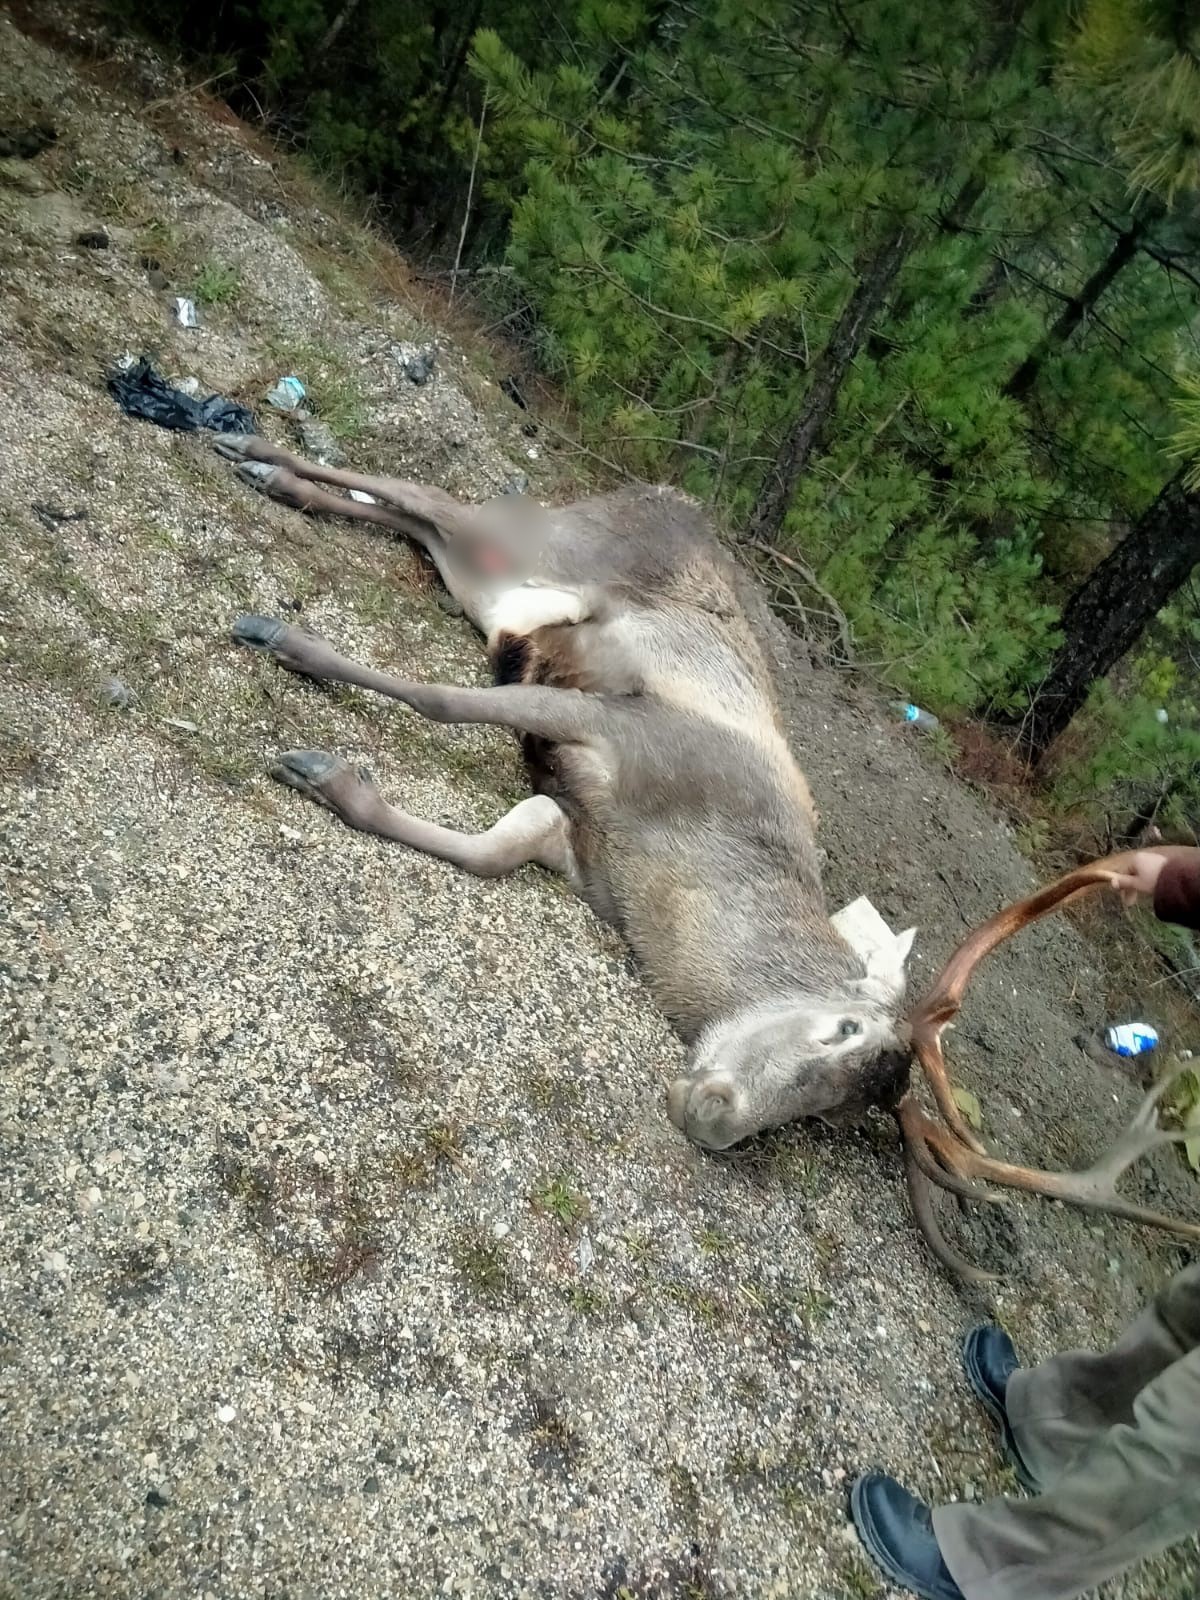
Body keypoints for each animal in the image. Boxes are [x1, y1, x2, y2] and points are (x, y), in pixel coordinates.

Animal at [216, 435, 1200, 1273]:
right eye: (843, 1032)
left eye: (826, 1117)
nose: (717, 1119)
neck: (663, 880)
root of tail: (670, 495)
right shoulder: (623, 725)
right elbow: (443, 702)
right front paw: (283, 643)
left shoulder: (579, 842)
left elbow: (495, 847)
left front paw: (326, 774)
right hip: (548, 540)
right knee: (421, 490)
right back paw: (249, 450)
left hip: (487, 580)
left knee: (415, 517)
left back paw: (278, 480)